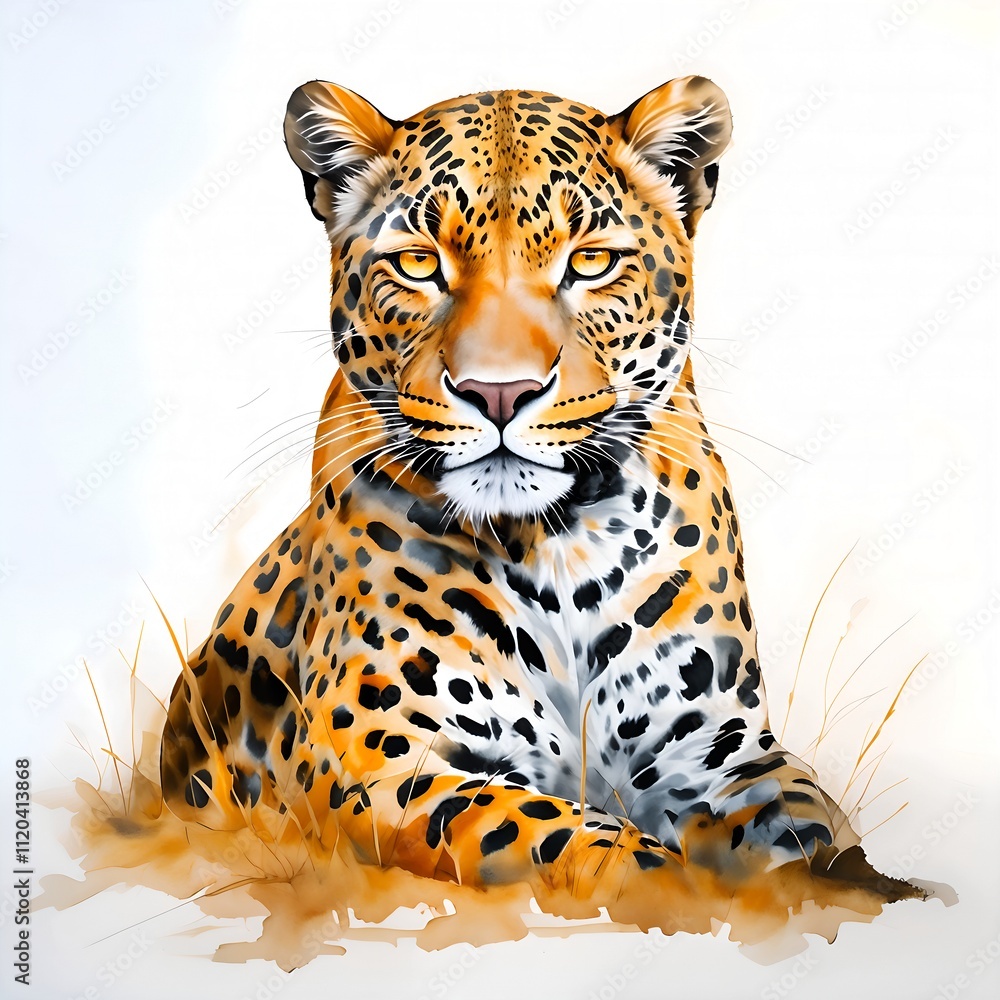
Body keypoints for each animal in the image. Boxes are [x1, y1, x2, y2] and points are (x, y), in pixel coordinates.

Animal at [159, 75, 916, 908]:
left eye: (589, 262)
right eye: (419, 263)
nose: (500, 392)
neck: (559, 545)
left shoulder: (716, 744)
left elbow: (808, 827)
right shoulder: (372, 760)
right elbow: (564, 836)